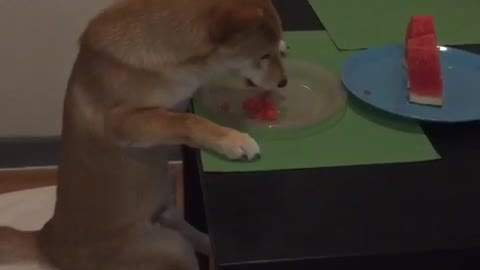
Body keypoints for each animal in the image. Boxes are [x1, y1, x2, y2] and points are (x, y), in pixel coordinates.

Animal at [0, 0, 284, 268]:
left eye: (274, 53)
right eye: (263, 56)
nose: (284, 83)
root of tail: (47, 240)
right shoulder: (125, 121)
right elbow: (189, 120)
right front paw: (233, 139)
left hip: (168, 204)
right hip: (172, 247)